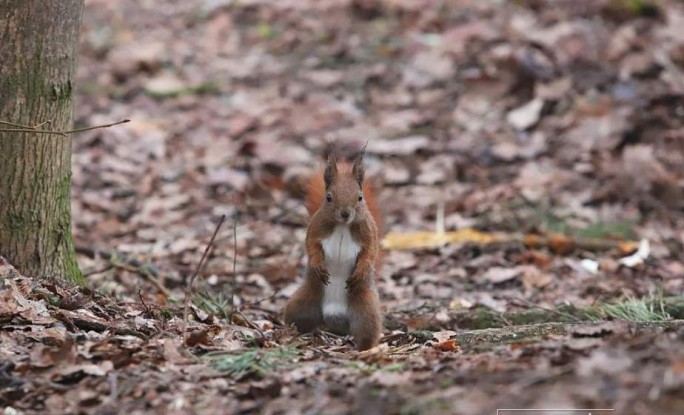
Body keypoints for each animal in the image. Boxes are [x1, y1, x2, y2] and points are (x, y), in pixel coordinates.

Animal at [282, 150, 382, 352]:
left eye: (360, 197)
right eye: (328, 197)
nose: (345, 213)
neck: (342, 226)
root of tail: (334, 317)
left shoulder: (369, 234)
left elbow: (370, 252)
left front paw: (361, 271)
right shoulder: (315, 229)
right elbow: (311, 246)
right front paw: (318, 265)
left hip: (366, 311)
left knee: (367, 333)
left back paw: (364, 349)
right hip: (303, 302)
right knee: (296, 321)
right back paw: (291, 334)